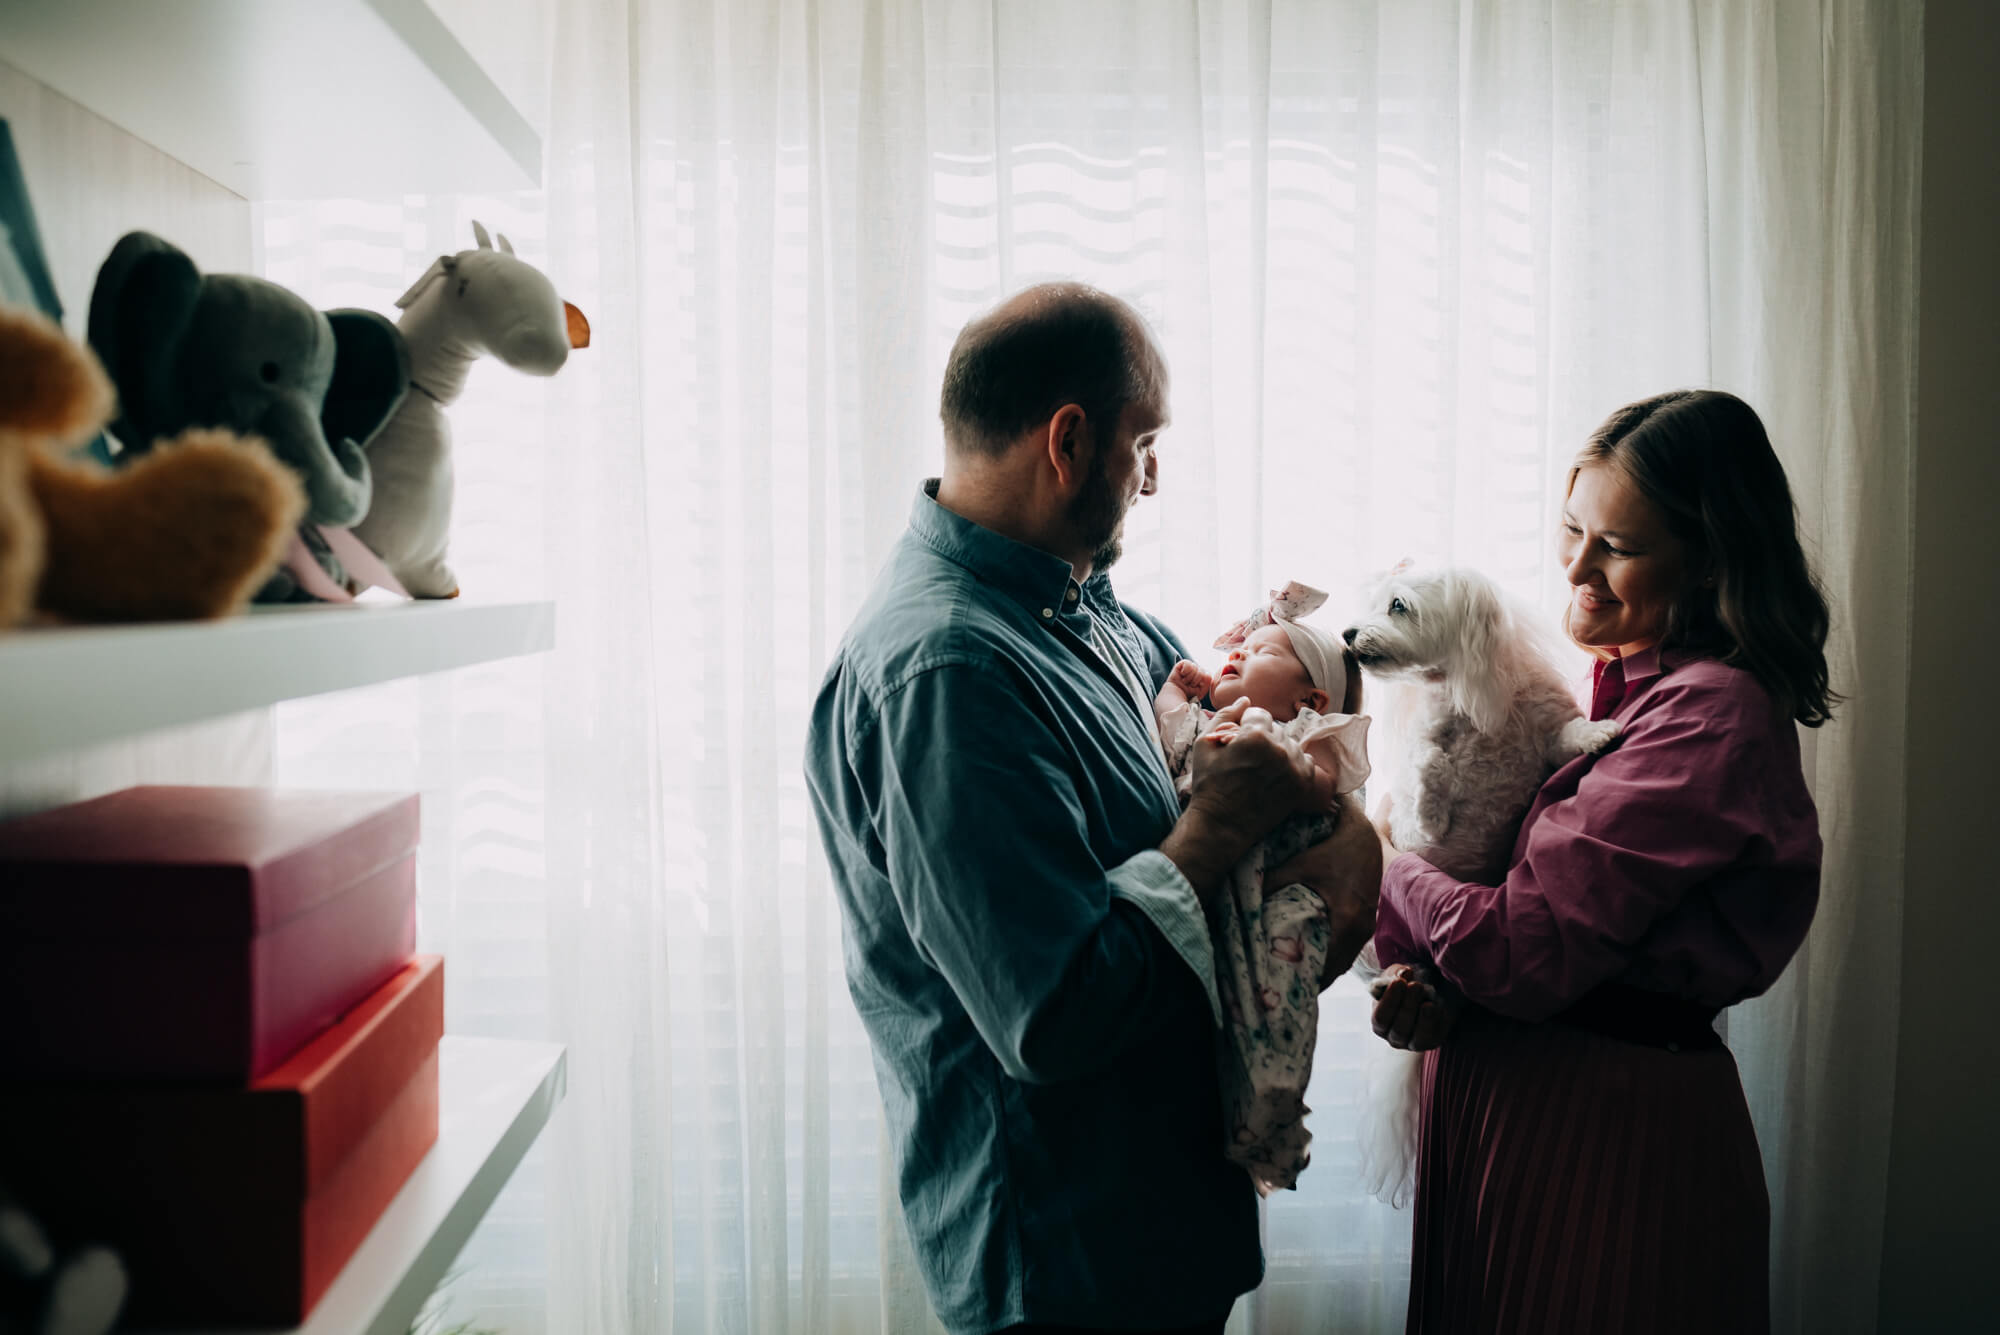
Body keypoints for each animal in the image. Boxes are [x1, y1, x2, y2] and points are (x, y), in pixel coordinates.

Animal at [1336, 559, 1616, 1207]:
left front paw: (1598, 734)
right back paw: (1392, 976)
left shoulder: (1542, 726)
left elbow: (1565, 735)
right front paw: (1435, 798)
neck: (1469, 698)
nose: (1347, 634)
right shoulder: (1420, 777)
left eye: (1397, 605)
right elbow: (1427, 776)